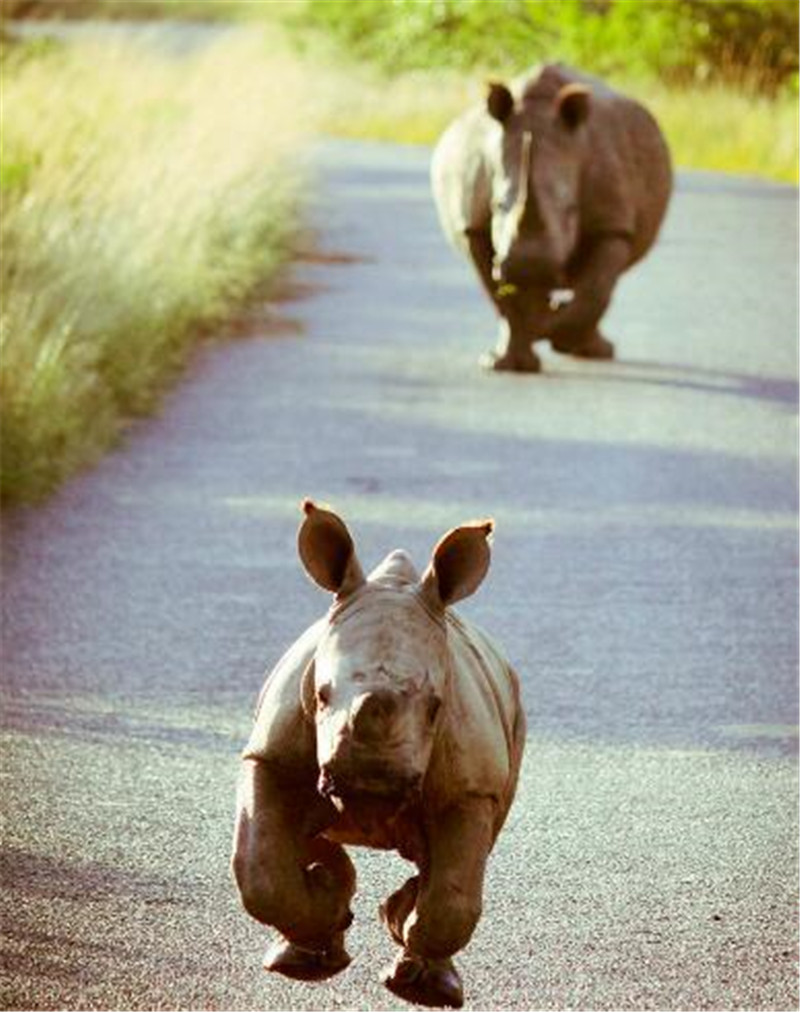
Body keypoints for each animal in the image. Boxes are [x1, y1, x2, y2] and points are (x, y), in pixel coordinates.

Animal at [231, 501, 525, 1007]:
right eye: (322, 696)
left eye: (436, 707)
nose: (369, 783)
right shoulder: (272, 757)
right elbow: (260, 870)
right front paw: (319, 917)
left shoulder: (471, 788)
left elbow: (454, 896)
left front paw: (421, 985)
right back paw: (314, 929)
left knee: (454, 861)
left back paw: (405, 932)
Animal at [428, 63, 671, 374]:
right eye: (497, 205)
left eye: (572, 210)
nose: (531, 265)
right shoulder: (473, 224)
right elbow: (499, 296)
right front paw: (504, 363)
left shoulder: (612, 224)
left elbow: (595, 291)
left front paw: (554, 332)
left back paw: (589, 349)